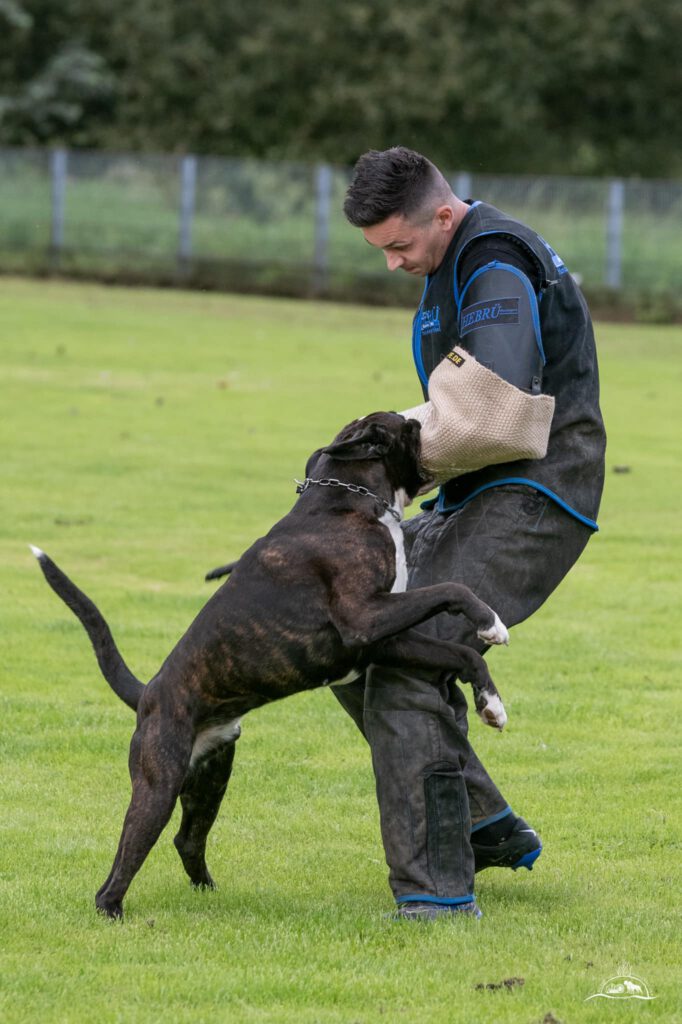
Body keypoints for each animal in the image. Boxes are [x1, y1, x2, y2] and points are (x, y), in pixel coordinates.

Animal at [34, 409, 507, 921]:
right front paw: (491, 622)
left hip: (209, 778)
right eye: (410, 427)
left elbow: (462, 653)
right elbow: (453, 589)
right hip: (157, 785)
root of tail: (149, 694)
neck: (348, 501)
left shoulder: (386, 641)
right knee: (122, 864)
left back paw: (209, 892)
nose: (426, 420)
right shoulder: (365, 618)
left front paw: (491, 701)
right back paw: (114, 912)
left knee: (186, 840)